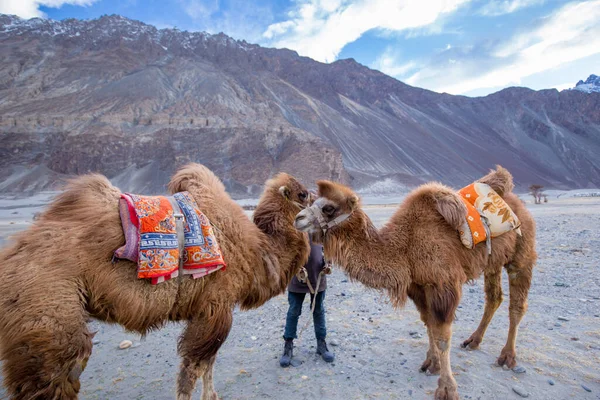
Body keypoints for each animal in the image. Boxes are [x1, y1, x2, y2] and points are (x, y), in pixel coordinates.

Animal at [0, 163, 310, 400]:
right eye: (303, 194)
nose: (315, 210)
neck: (257, 250)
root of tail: (13, 254)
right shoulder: (216, 305)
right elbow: (193, 368)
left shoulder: (212, 310)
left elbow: (208, 363)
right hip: (47, 309)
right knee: (55, 375)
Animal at [292, 164, 536, 398]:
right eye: (312, 201)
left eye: (329, 208)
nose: (298, 218)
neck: (406, 247)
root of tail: (517, 204)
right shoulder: (417, 286)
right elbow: (428, 324)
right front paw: (431, 363)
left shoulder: (443, 284)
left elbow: (442, 335)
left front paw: (447, 389)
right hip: (493, 262)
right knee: (494, 297)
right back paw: (473, 341)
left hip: (521, 252)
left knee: (517, 304)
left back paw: (507, 357)